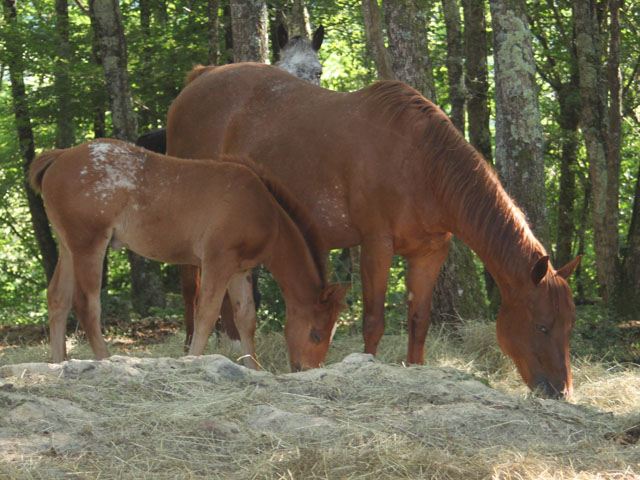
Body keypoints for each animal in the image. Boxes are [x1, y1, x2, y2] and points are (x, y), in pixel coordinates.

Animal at [28, 139, 350, 372]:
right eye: (316, 333)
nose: (307, 368)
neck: (264, 211)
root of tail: (60, 157)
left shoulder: (240, 269)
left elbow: (246, 317)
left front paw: (254, 368)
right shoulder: (218, 261)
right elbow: (206, 313)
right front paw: (193, 361)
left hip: (68, 246)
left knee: (57, 297)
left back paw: (57, 363)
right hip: (89, 244)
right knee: (86, 304)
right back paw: (106, 360)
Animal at [166, 64, 584, 402]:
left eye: (570, 325)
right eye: (542, 325)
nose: (560, 392)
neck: (422, 164)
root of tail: (201, 76)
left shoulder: (430, 252)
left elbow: (419, 321)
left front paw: (416, 370)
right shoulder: (376, 245)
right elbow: (374, 320)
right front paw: (365, 367)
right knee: (192, 285)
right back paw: (192, 350)